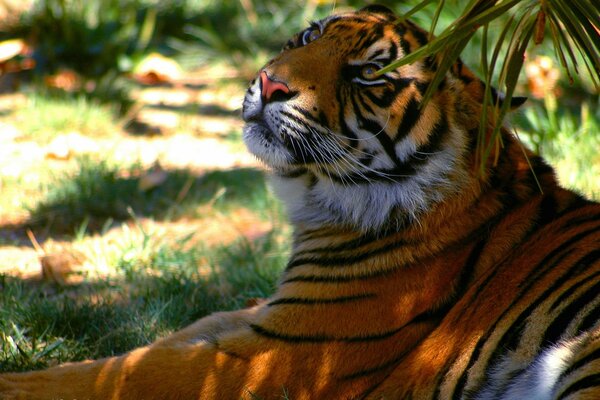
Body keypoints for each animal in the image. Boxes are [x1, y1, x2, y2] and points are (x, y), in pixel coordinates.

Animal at [1, 3, 600, 400]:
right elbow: (134, 352)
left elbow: (117, 375)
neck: (320, 200)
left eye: (369, 74)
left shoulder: (276, 356)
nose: (269, 84)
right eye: (310, 34)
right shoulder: (260, 317)